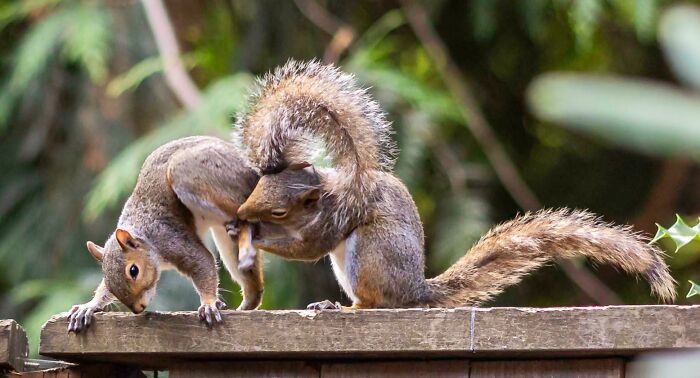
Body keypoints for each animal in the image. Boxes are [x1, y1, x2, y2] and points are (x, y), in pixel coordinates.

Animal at [237, 60, 680, 308]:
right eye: (259, 186)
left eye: (280, 208)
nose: (242, 213)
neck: (329, 193)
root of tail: (416, 291)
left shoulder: (337, 217)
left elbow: (307, 248)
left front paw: (257, 238)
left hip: (370, 253)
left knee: (379, 304)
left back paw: (345, 307)